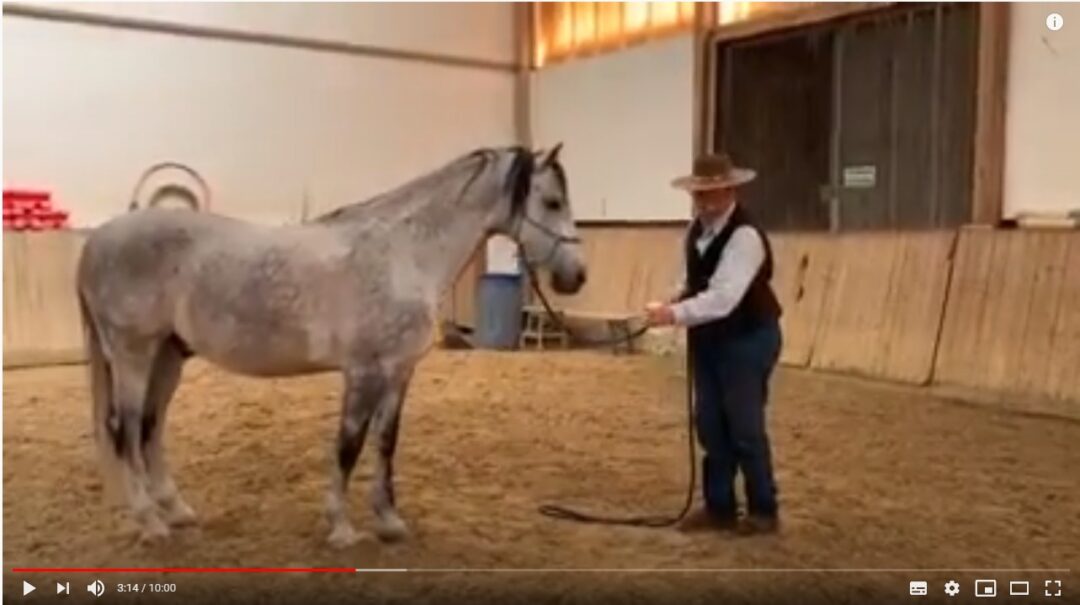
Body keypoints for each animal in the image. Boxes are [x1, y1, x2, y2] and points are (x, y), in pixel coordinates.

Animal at [77, 146, 587, 548]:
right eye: (552, 201)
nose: (577, 276)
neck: (402, 252)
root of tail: (98, 240)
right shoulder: (362, 372)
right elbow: (348, 445)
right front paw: (341, 528)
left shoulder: (398, 371)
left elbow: (385, 443)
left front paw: (389, 522)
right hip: (133, 355)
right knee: (125, 430)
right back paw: (150, 523)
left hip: (167, 356)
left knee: (150, 427)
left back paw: (176, 511)